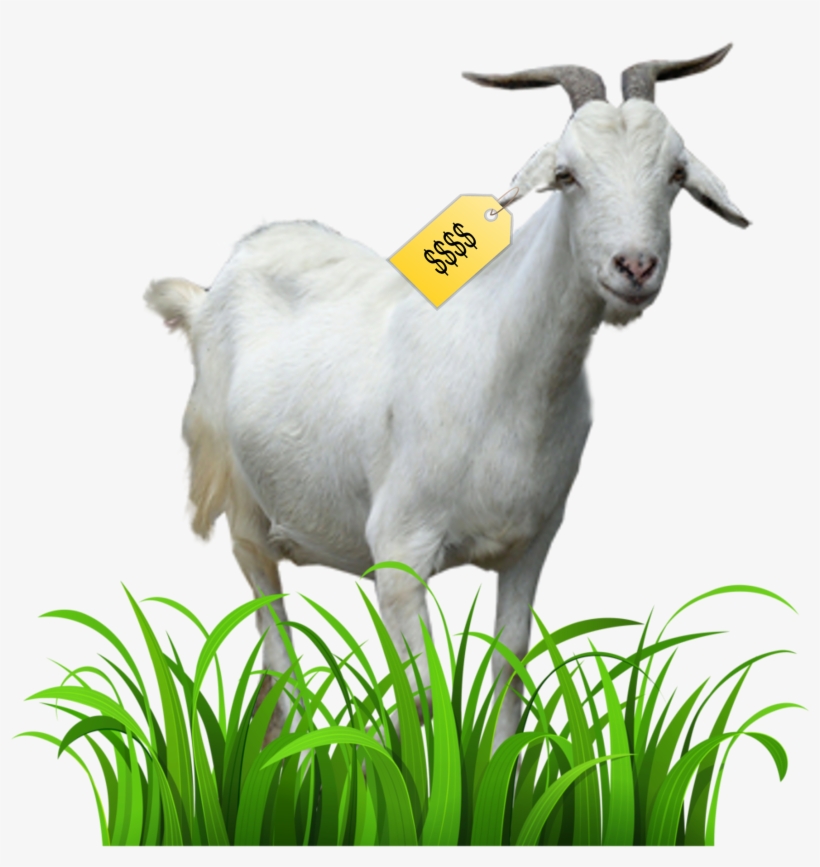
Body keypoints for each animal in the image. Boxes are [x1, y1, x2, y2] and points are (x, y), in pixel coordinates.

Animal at [145, 46, 748, 750]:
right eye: (567, 175)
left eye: (676, 172)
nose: (635, 267)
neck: (504, 371)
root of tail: (210, 291)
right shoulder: (399, 550)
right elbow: (422, 694)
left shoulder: (533, 540)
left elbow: (510, 665)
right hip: (243, 507)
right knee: (278, 652)